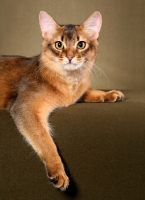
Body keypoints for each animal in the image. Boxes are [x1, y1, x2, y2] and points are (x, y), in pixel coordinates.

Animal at [0, 11, 124, 191]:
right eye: (59, 45)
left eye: (81, 44)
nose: (70, 57)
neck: (69, 82)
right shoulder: (24, 107)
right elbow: (45, 139)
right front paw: (58, 172)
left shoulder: (75, 94)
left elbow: (87, 92)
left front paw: (110, 94)